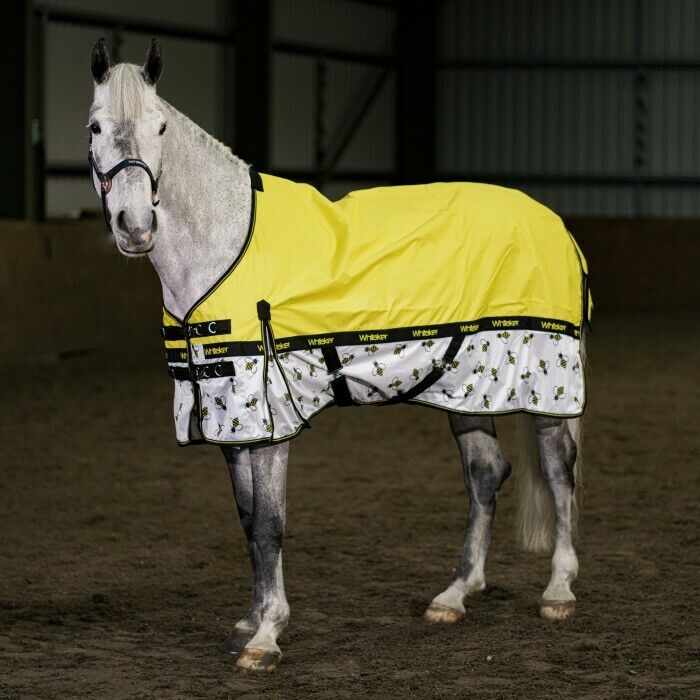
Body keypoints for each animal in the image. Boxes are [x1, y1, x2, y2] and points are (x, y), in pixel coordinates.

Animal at [87, 39, 585, 672]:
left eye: (161, 127)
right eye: (96, 127)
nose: (135, 227)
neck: (225, 244)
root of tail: (554, 222)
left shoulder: (267, 416)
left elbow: (269, 524)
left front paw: (267, 636)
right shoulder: (229, 415)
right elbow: (247, 520)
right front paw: (248, 621)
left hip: (547, 385)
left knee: (558, 471)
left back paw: (558, 591)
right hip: (467, 387)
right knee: (486, 474)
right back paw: (454, 595)